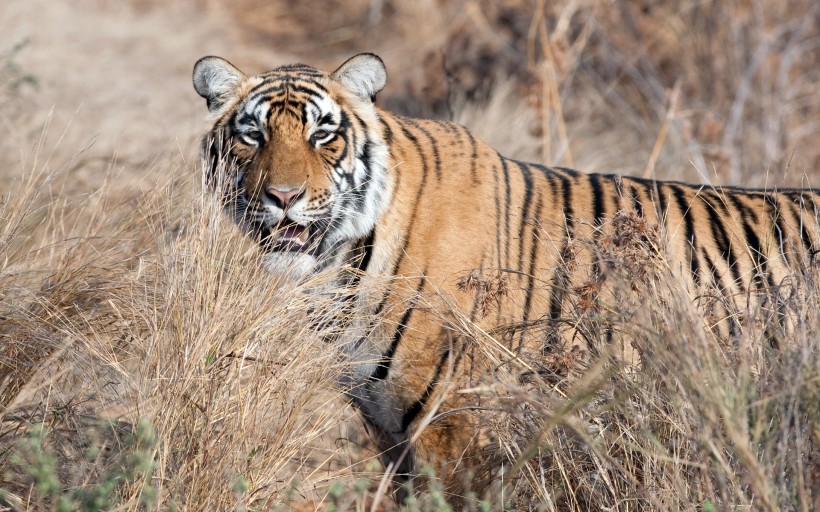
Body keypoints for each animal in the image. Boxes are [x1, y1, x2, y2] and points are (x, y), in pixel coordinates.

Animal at [192, 53, 820, 503]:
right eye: (252, 135)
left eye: (324, 135)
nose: (283, 197)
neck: (340, 268)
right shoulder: (387, 430)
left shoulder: (454, 423)